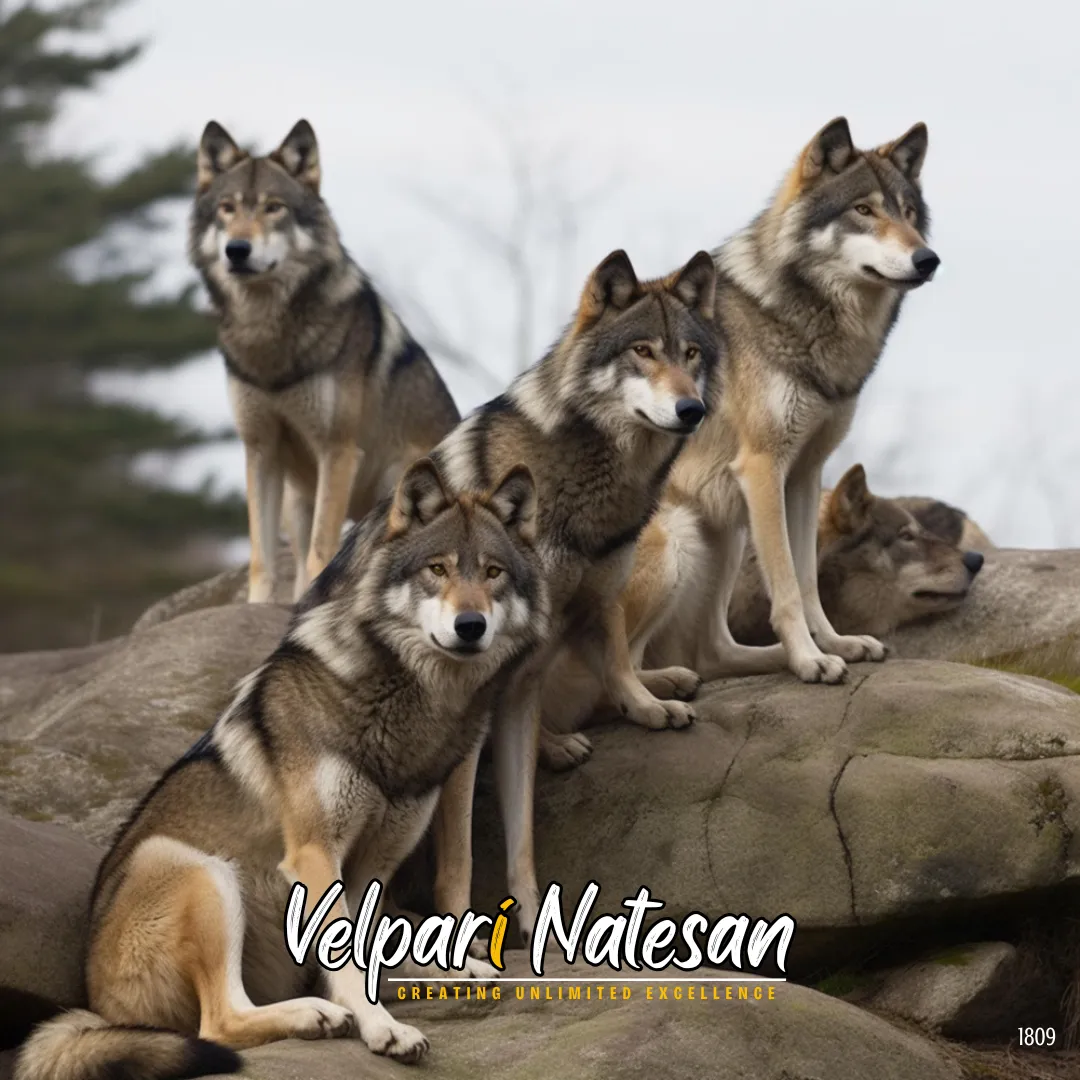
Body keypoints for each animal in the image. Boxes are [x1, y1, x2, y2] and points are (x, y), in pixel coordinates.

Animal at [15, 459, 546, 1078]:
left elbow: (357, 956)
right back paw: (315, 1015)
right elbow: (347, 964)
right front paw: (383, 1029)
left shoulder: (373, 866)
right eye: (436, 569)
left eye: (492, 573)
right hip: (201, 870)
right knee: (220, 1022)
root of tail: (96, 1008)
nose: (470, 625)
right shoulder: (314, 854)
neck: (402, 705)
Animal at [189, 119, 459, 603]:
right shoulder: (260, 451)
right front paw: (261, 606)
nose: (237, 249)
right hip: (298, 497)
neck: (268, 336)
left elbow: (321, 551)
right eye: (227, 208)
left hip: (397, 480)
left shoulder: (338, 450)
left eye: (274, 208)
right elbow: (262, 558)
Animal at [426, 249, 721, 941]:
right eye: (642, 351)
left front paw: (647, 706)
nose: (691, 409)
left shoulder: (599, 588)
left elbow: (614, 658)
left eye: (691, 353)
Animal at [631, 117, 939, 688]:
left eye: (909, 213)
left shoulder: (804, 473)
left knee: (711, 652)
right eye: (864, 210)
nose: (928, 258)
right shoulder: (762, 467)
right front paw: (810, 660)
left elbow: (808, 579)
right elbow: (788, 586)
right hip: (679, 540)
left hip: (725, 533)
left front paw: (834, 645)